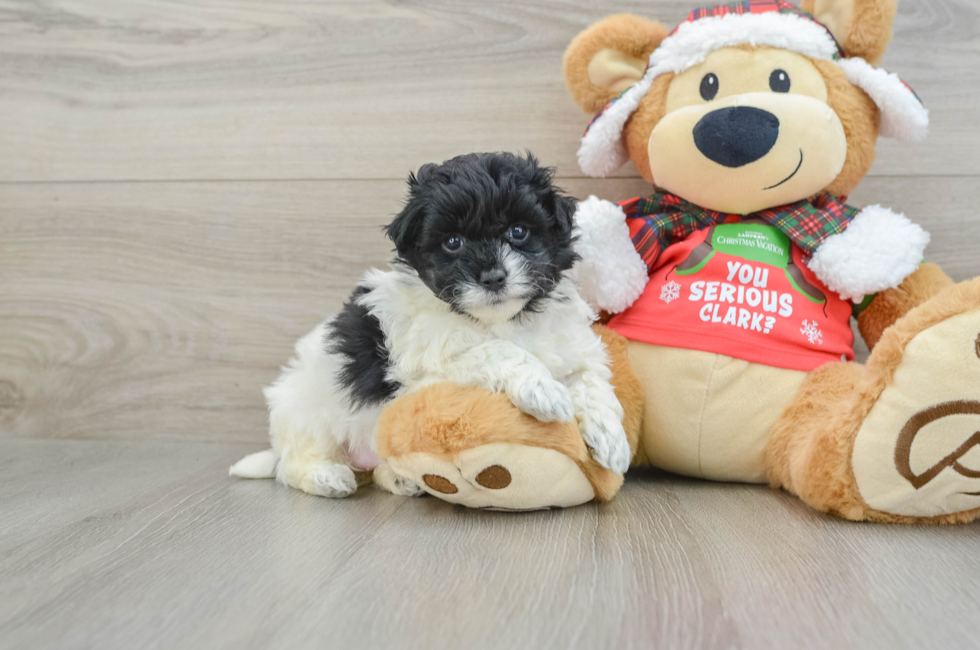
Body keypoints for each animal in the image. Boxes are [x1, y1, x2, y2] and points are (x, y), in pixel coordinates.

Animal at [229, 152, 628, 496]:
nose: (493, 277)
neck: (501, 320)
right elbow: (498, 351)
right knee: (293, 464)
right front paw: (543, 391)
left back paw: (400, 480)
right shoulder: (427, 364)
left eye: (518, 231)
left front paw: (612, 440)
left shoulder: (573, 347)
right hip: (309, 411)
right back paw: (327, 477)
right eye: (453, 242)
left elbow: (591, 382)